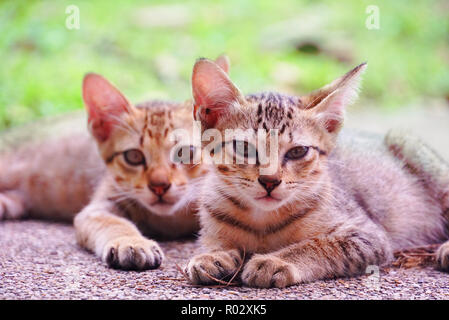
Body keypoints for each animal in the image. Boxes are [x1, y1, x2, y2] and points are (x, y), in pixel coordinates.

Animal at [184, 57, 448, 288]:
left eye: (298, 151)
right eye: (244, 148)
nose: (269, 181)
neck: (262, 222)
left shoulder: (368, 235)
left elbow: (320, 245)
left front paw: (276, 260)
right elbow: (212, 241)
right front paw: (212, 255)